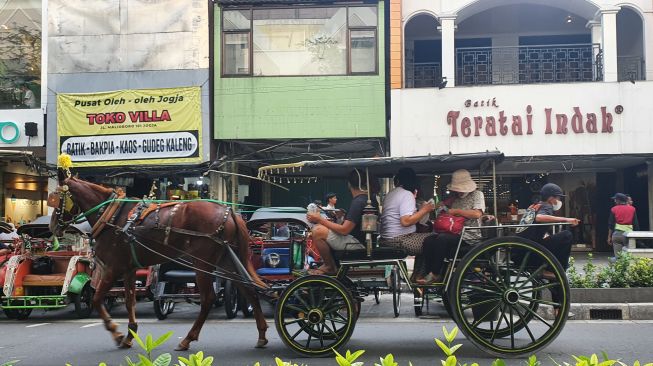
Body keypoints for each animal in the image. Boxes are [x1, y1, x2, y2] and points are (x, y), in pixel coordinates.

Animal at [47, 173, 268, 350]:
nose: (52, 227)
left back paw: (188, 339)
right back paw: (262, 335)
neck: (111, 215)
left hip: (204, 263)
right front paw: (130, 335)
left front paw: (116, 333)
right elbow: (129, 301)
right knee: (249, 290)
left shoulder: (112, 267)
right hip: (227, 259)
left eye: (55, 199)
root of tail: (228, 212)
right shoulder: (128, 268)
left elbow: (96, 299)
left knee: (208, 299)